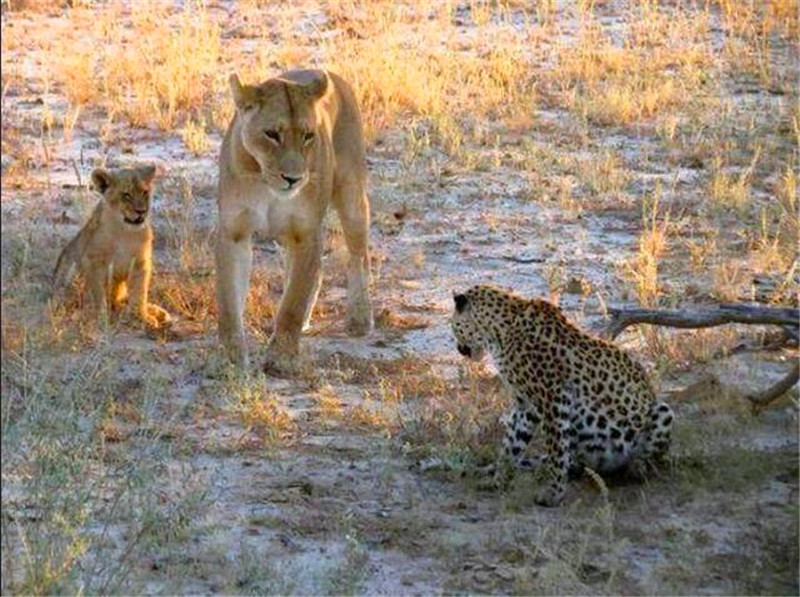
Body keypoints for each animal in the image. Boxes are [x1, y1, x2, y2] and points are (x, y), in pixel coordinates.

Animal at [54, 165, 173, 328]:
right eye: (126, 195)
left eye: (144, 192)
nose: (141, 211)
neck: (124, 231)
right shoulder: (93, 261)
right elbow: (97, 293)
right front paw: (100, 317)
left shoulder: (141, 263)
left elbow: (139, 292)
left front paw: (141, 317)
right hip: (68, 277)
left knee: (120, 302)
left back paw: (158, 312)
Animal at [216, 70, 372, 374]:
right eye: (272, 134)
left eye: (308, 136)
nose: (293, 178)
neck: (266, 183)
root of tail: (335, 76)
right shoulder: (233, 233)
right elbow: (229, 303)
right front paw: (231, 361)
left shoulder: (305, 232)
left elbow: (293, 302)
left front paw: (282, 358)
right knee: (316, 269)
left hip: (352, 197)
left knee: (357, 255)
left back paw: (360, 317)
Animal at [450, 282, 676, 502]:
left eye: (454, 328)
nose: (459, 349)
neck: (498, 334)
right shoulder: (526, 404)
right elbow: (512, 443)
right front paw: (498, 478)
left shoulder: (553, 398)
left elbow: (555, 445)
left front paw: (554, 492)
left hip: (663, 411)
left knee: (653, 457)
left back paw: (637, 467)